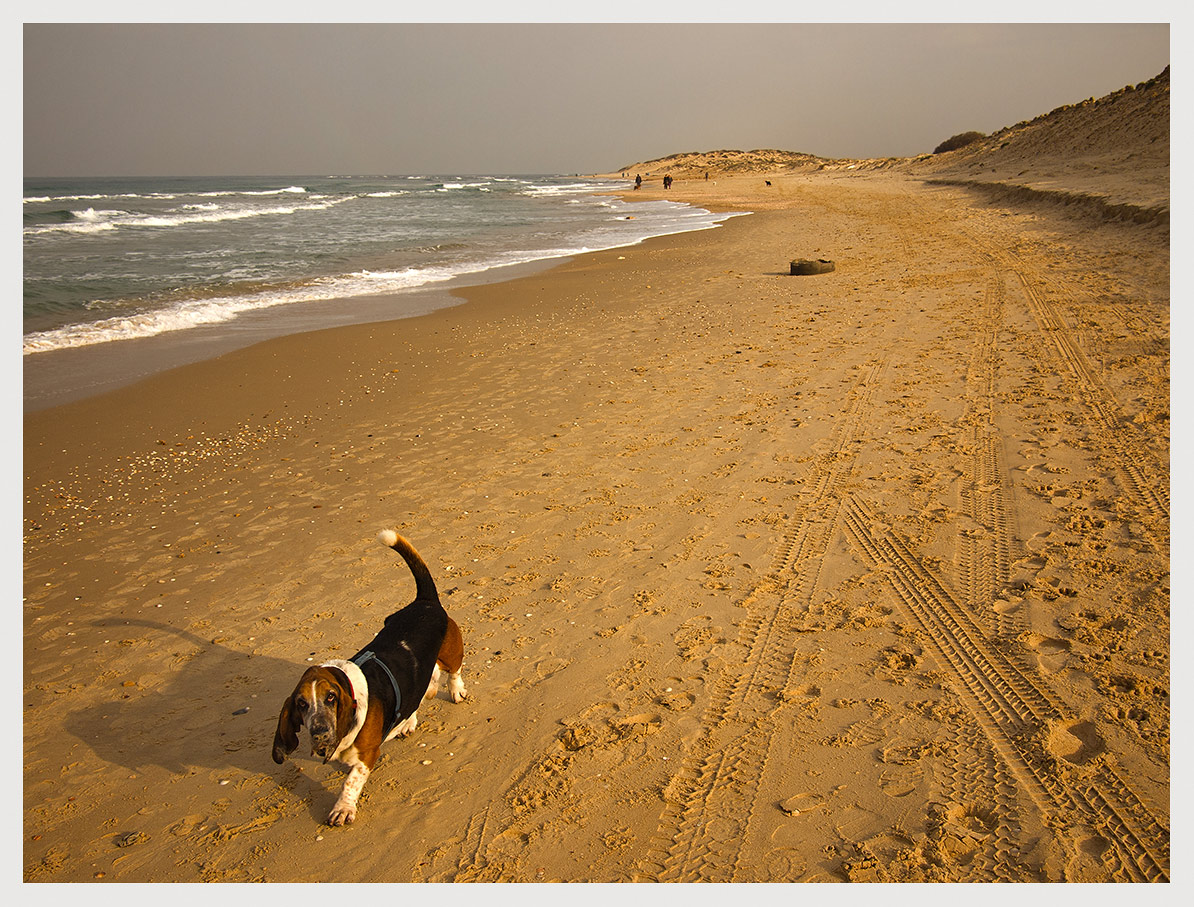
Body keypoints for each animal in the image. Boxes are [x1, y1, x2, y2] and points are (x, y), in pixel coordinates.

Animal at [274, 527, 465, 825]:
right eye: (301, 704)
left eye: (331, 698)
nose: (319, 732)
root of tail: (424, 602)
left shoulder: (366, 755)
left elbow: (351, 781)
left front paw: (343, 808)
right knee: (421, 692)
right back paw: (410, 720)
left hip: (451, 653)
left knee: (454, 671)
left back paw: (456, 691)